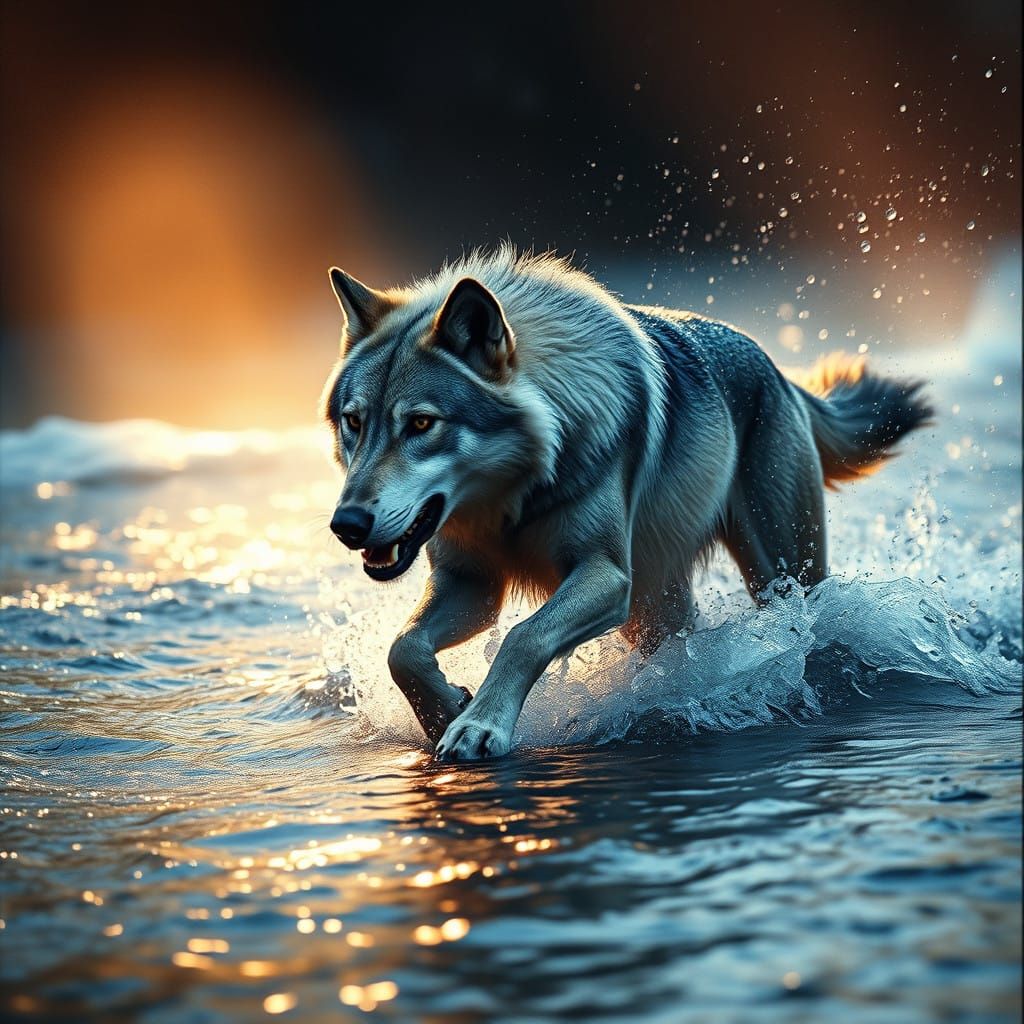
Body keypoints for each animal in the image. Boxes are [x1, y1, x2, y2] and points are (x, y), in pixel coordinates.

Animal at [321, 246, 931, 761]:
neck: (515, 497)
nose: (346, 523)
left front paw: (479, 725)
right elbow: (404, 650)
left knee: (811, 625)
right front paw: (445, 709)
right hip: (656, 604)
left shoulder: (607, 575)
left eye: (422, 424)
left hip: (779, 577)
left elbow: (523, 637)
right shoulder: (473, 586)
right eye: (354, 423)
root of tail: (777, 368)